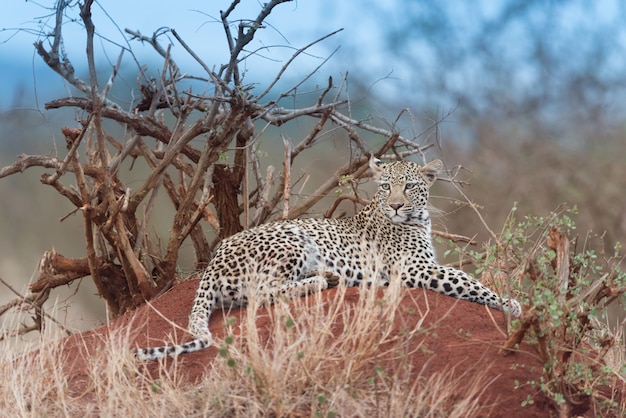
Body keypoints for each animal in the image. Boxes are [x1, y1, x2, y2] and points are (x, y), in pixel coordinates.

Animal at [134, 157, 520, 360]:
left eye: (409, 186)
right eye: (385, 186)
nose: (396, 205)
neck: (416, 219)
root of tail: (213, 262)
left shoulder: (422, 264)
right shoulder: (416, 268)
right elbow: (465, 279)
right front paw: (510, 303)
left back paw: (329, 277)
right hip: (292, 238)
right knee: (262, 292)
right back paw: (322, 279)